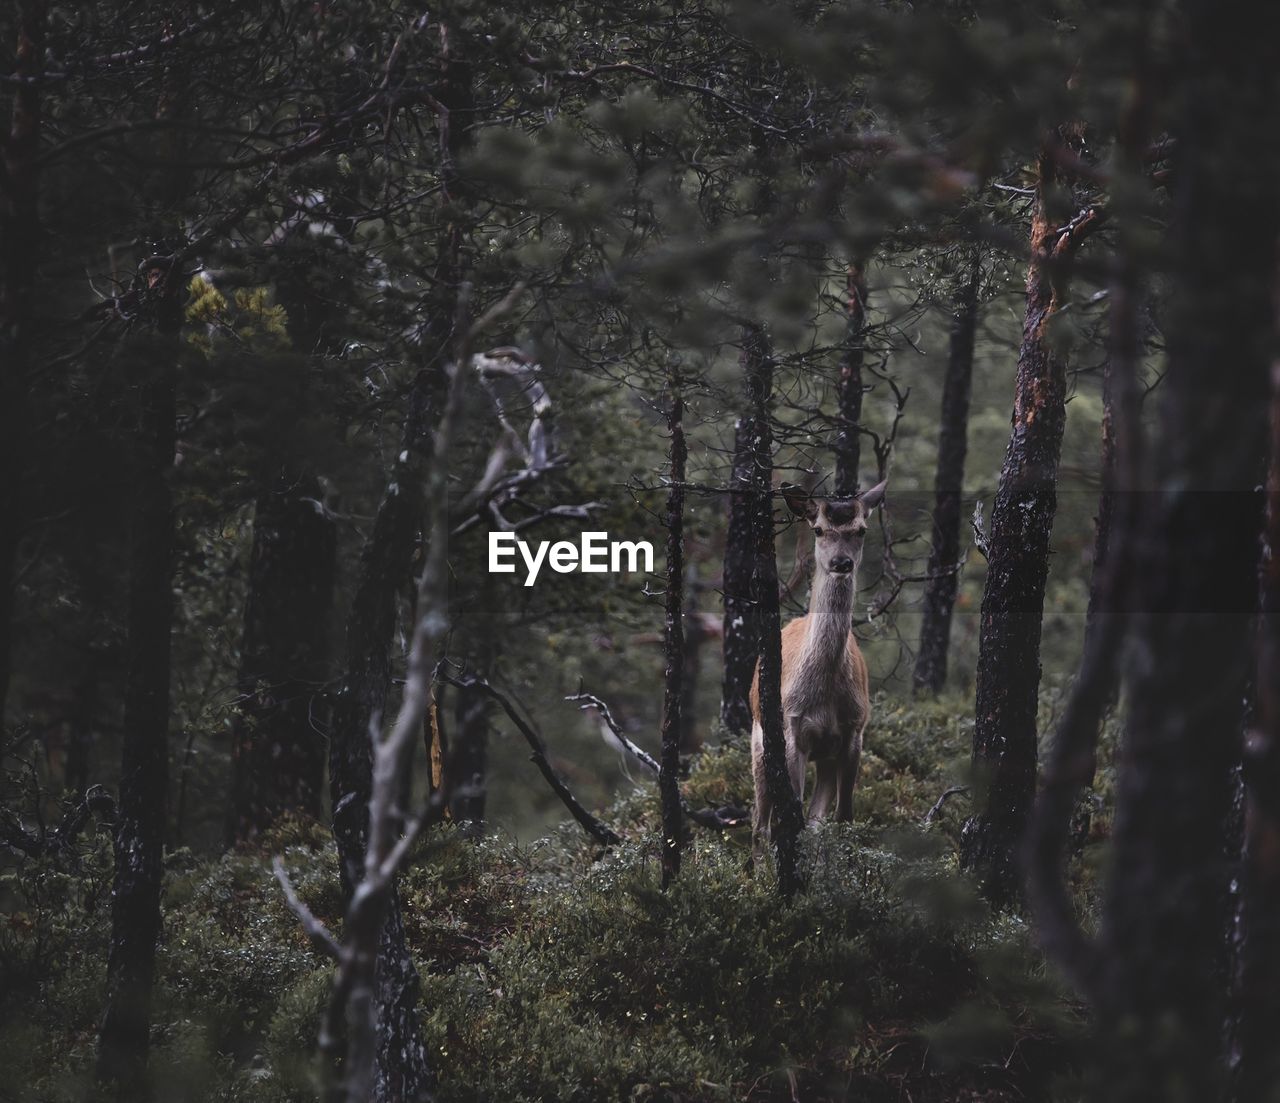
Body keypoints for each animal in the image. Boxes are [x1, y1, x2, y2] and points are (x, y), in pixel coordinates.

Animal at [747, 476, 890, 854]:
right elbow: (789, 817)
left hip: (824, 757)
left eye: (861, 529)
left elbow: (842, 816)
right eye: (819, 529)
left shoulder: (854, 731)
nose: (841, 562)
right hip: (758, 744)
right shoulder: (792, 729)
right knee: (759, 825)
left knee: (812, 821)